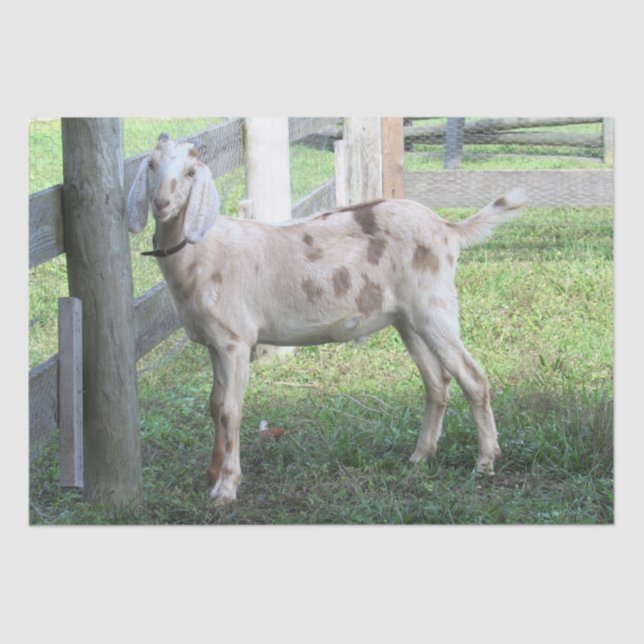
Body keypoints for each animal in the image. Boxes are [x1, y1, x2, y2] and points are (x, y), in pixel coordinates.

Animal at [127, 133, 526, 505]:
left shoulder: (234, 341)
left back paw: (486, 461)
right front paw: (210, 473)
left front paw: (226, 488)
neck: (202, 252)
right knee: (437, 382)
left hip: (434, 306)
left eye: (191, 172)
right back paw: (420, 455)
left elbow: (229, 411)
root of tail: (448, 229)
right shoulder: (213, 341)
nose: (161, 204)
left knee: (473, 378)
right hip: (407, 317)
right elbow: (213, 404)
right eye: (151, 165)